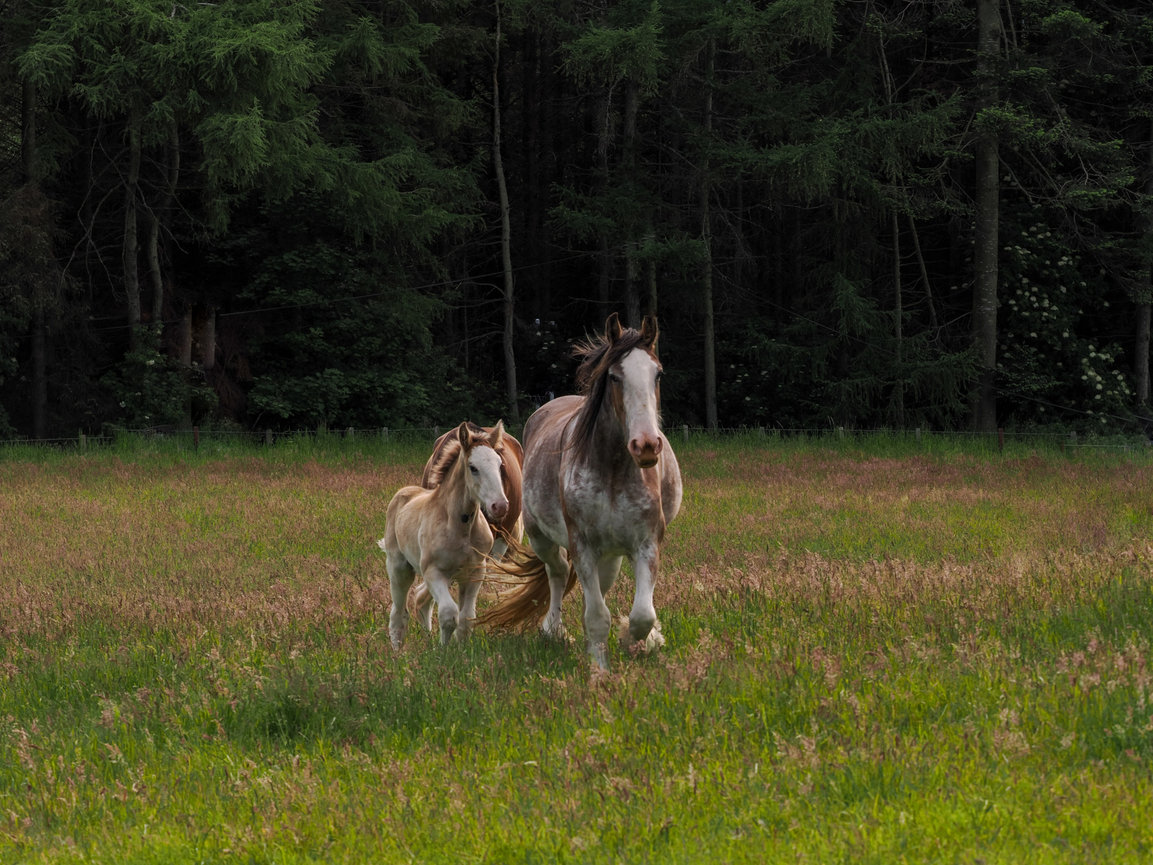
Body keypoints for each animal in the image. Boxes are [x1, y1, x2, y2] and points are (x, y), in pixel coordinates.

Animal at [378, 421, 510, 648]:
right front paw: (444, 650)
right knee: (398, 613)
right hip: (398, 568)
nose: (499, 506)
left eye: (499, 464)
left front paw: (461, 649)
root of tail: (402, 494)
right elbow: (449, 614)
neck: (460, 527)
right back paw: (397, 650)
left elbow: (466, 617)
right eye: (473, 467)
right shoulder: (433, 572)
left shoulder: (475, 572)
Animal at [479, 313, 682, 669]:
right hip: (542, 538)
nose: (645, 445)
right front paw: (599, 669)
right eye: (614, 377)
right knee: (558, 573)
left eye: (657, 373)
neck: (613, 470)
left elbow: (642, 613)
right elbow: (597, 616)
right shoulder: (583, 546)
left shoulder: (646, 543)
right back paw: (553, 631)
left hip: (612, 552)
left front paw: (640, 641)